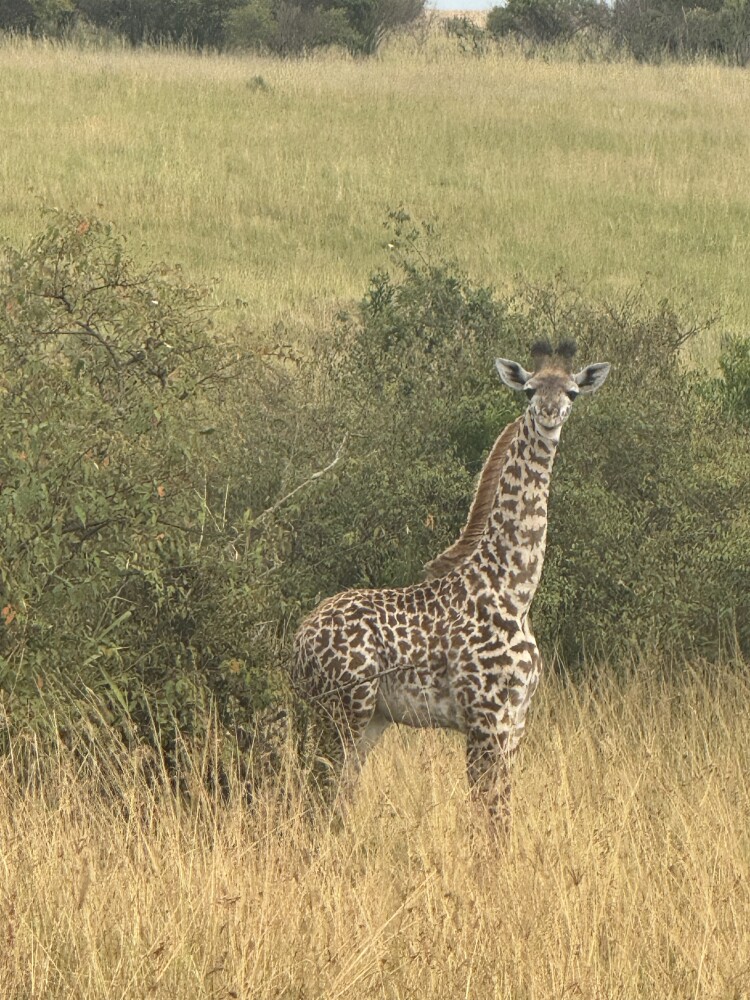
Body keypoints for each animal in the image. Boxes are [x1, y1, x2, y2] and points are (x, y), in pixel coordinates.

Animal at [292, 339, 610, 825]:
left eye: (572, 391)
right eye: (530, 390)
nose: (550, 413)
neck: (514, 589)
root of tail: (298, 640)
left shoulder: (516, 721)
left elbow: (500, 811)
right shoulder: (484, 718)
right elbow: (488, 814)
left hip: (370, 718)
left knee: (337, 794)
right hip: (343, 708)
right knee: (317, 789)